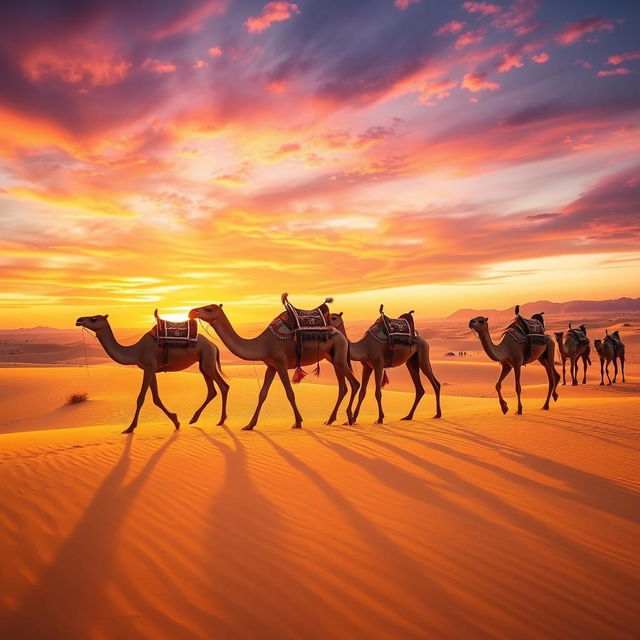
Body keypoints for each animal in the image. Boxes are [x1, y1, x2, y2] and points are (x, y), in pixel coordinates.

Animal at [74, 314, 228, 432]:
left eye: (94, 319)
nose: (79, 320)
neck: (137, 351)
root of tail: (214, 345)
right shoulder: (152, 370)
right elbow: (156, 398)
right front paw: (176, 421)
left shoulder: (149, 368)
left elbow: (141, 398)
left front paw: (130, 428)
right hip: (203, 363)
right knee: (212, 390)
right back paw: (194, 419)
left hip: (207, 359)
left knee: (223, 386)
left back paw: (221, 420)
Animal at [189, 300, 360, 430]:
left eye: (208, 309)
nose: (192, 311)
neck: (263, 344)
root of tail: (343, 336)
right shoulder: (271, 366)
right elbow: (262, 394)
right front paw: (249, 425)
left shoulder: (281, 363)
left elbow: (290, 393)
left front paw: (298, 422)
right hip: (333, 358)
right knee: (343, 387)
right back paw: (330, 420)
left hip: (339, 357)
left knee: (354, 383)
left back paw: (350, 419)